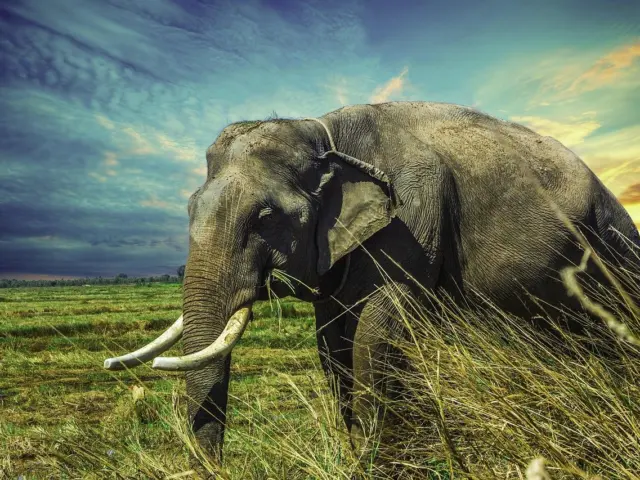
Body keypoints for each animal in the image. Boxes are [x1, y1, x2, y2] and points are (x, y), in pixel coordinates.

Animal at [104, 101, 640, 474]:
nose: (215, 469)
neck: (323, 131)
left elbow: (376, 334)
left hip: (614, 249)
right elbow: (332, 343)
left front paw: (377, 465)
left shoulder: (414, 215)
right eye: (189, 208)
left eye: (265, 218)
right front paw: (358, 456)